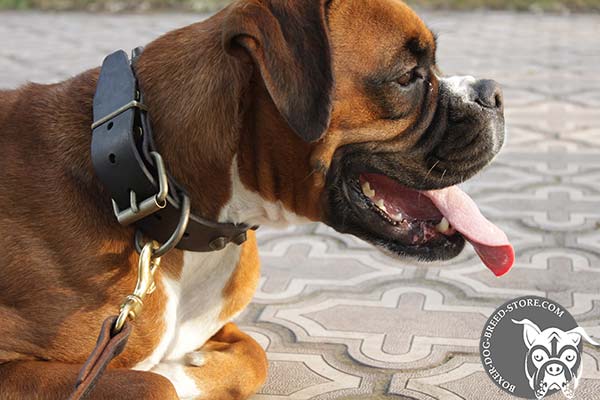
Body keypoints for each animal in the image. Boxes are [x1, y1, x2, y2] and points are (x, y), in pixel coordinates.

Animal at [0, 0, 512, 398]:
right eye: (408, 77)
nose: (494, 92)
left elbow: (254, 356)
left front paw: (190, 367)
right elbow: (152, 384)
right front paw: (171, 372)